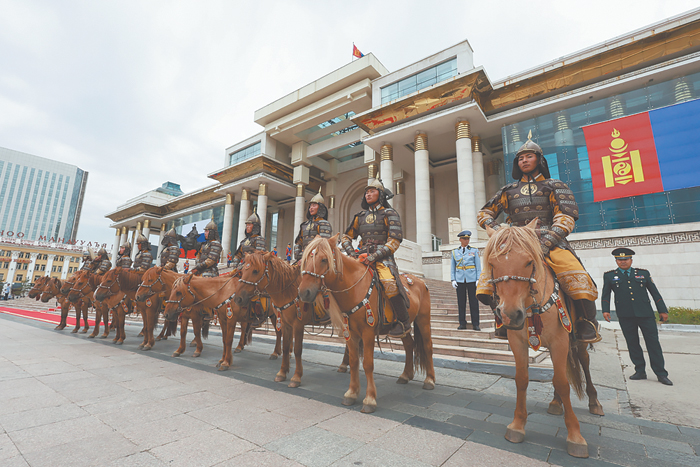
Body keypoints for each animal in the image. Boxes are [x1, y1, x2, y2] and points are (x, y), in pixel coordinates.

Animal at [298, 236, 434, 414]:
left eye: (323, 259)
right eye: (305, 259)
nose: (304, 293)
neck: (354, 288)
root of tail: (421, 281)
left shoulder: (368, 332)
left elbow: (368, 364)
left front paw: (369, 399)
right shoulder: (350, 332)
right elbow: (354, 360)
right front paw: (351, 393)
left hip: (423, 319)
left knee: (427, 346)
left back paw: (429, 380)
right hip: (403, 327)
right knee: (409, 344)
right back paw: (405, 375)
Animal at [482, 220, 600, 460]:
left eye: (529, 261)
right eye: (492, 263)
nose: (510, 315)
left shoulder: (560, 341)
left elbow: (563, 383)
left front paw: (575, 436)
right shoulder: (517, 342)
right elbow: (522, 379)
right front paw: (517, 425)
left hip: (578, 340)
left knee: (583, 362)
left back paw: (594, 402)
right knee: (561, 370)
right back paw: (555, 403)